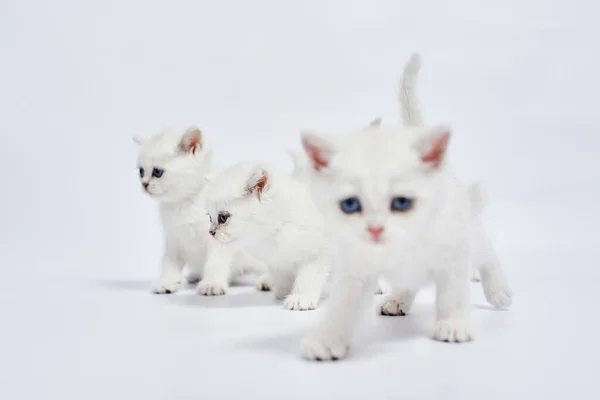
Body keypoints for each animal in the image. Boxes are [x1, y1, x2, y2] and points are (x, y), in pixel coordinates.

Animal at [136, 126, 268, 296]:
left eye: (157, 172)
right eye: (141, 171)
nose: (144, 184)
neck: (182, 205)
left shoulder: (218, 237)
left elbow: (215, 262)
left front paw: (212, 284)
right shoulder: (174, 240)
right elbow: (168, 263)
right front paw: (166, 281)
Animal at [202, 162, 332, 310]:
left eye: (223, 218)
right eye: (210, 217)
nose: (210, 232)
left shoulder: (319, 253)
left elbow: (308, 279)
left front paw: (301, 298)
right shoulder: (278, 261)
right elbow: (283, 276)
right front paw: (283, 292)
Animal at [298, 54, 510, 362]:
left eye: (401, 202)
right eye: (350, 204)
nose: (375, 229)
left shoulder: (454, 253)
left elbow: (453, 293)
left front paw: (452, 324)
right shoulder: (355, 268)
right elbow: (342, 306)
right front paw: (327, 339)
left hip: (468, 227)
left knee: (487, 253)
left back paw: (499, 290)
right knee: (408, 280)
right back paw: (399, 299)